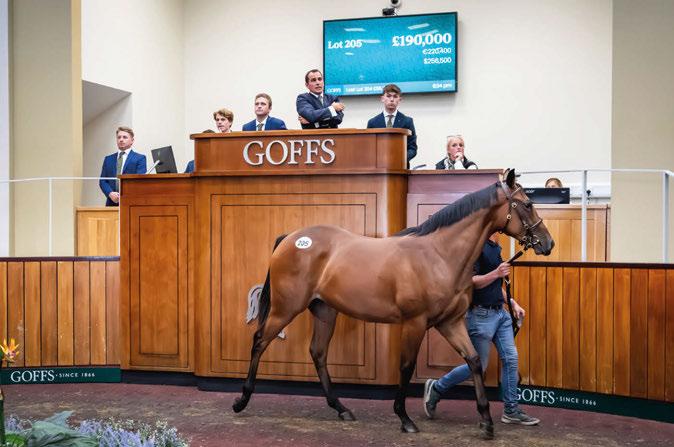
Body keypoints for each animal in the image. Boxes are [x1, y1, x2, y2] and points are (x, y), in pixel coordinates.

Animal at [232, 169, 554, 439]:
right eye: (527, 204)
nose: (547, 243)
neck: (439, 254)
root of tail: (292, 238)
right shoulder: (415, 323)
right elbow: (406, 366)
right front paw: (404, 418)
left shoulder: (449, 323)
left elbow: (474, 360)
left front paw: (486, 422)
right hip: (285, 308)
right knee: (259, 341)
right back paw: (241, 400)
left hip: (324, 311)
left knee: (318, 353)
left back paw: (341, 408)